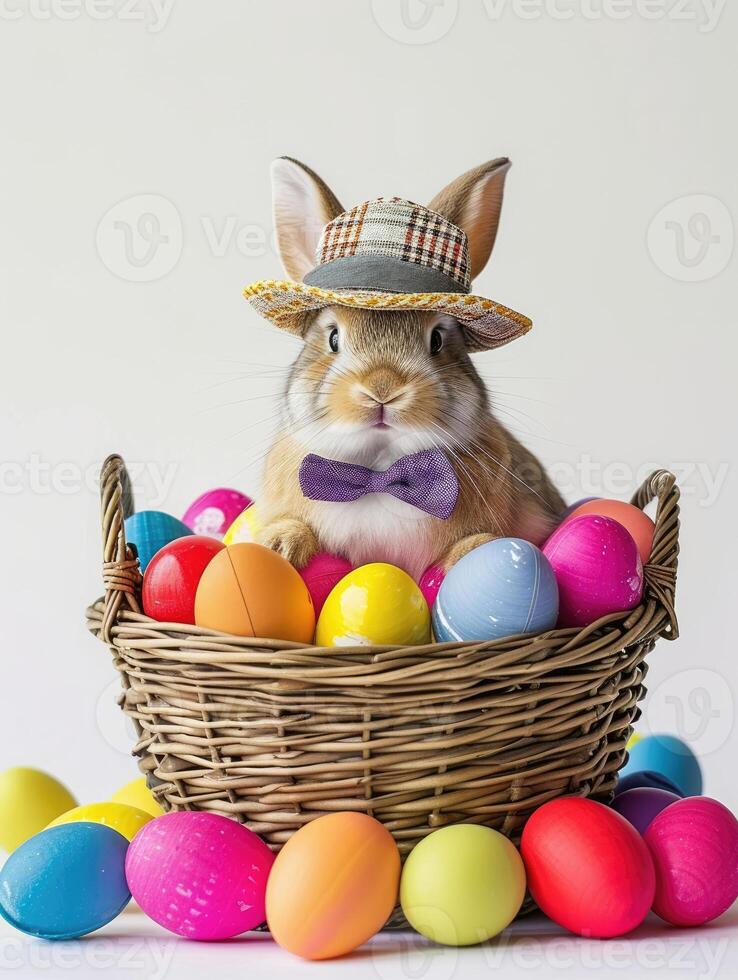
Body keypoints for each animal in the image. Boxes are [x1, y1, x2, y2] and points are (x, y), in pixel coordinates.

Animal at [253, 156, 564, 580]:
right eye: (332, 338)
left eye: (437, 340)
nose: (382, 389)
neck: (379, 470)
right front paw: (279, 544)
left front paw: (474, 554)